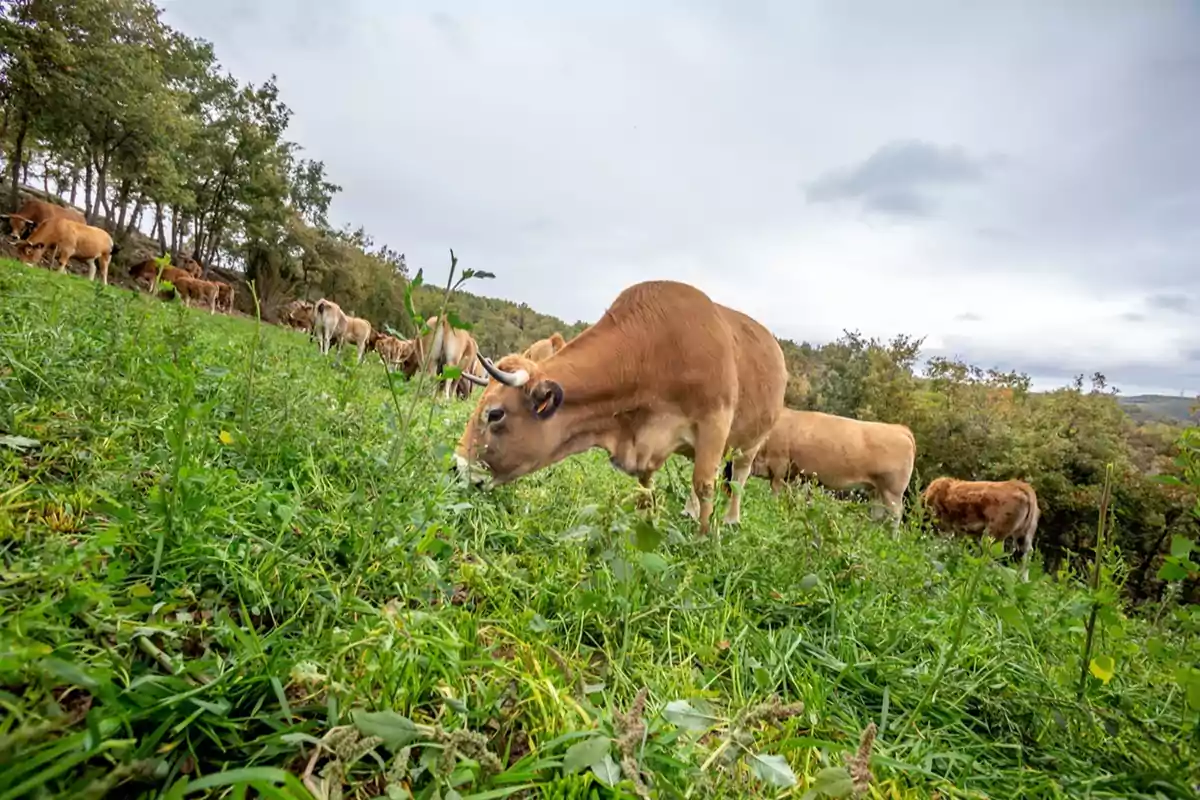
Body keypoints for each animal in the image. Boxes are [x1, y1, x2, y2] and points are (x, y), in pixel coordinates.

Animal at [454, 279, 788, 535]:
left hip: (752, 441)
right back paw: (690, 511)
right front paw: (644, 521)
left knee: (738, 478)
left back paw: (731, 519)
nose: (456, 466)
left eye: (495, 414)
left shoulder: (713, 424)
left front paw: (704, 538)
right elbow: (646, 486)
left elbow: (705, 483)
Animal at [725, 408, 916, 529]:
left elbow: (775, 492)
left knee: (895, 516)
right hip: (877, 490)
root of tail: (899, 428)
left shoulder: (779, 468)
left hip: (892, 491)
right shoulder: (792, 475)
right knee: (878, 514)